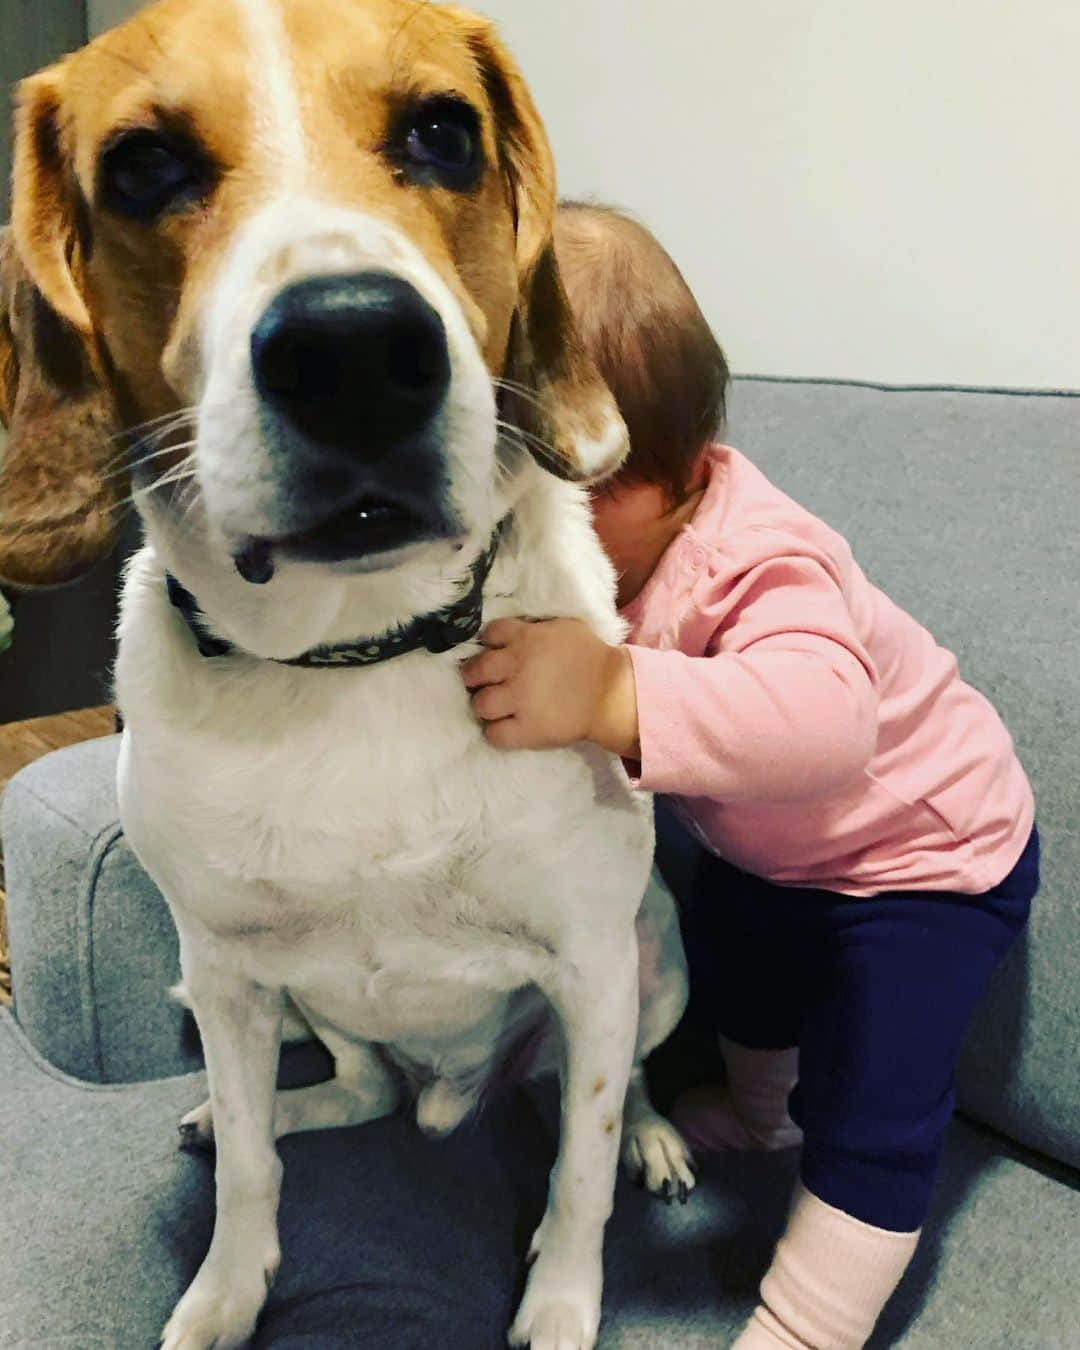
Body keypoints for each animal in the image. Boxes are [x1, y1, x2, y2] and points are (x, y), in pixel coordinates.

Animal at [0, 2, 691, 1350]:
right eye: (143, 166)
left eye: (442, 134)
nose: (355, 348)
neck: (357, 649)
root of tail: (451, 1095)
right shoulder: (224, 968)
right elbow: (254, 1174)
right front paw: (227, 1286)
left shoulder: (593, 958)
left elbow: (576, 1171)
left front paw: (563, 1299)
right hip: (283, 995)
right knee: (356, 1093)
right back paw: (271, 1109)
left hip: (659, 957)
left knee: (617, 1084)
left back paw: (652, 1134)